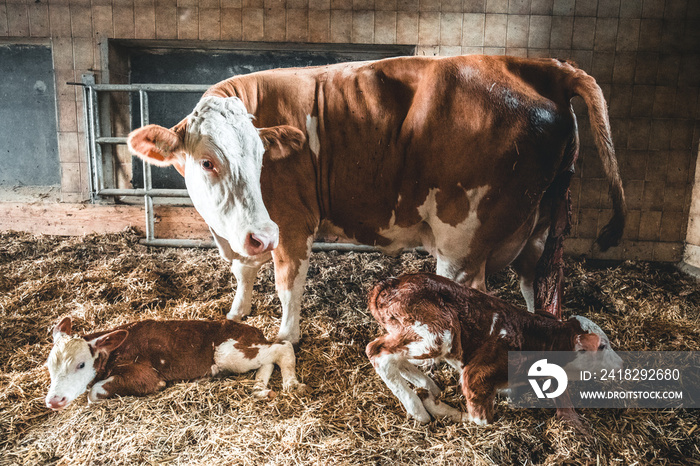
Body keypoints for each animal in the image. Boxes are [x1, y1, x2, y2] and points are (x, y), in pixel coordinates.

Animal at [44, 314, 306, 410]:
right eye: (49, 366)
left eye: (81, 365)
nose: (54, 400)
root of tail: (254, 330)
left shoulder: (146, 375)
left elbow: (94, 391)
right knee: (268, 360)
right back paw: (260, 390)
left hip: (228, 351)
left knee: (283, 347)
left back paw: (291, 384)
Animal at [129, 56, 628, 344]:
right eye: (207, 162)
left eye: (261, 159)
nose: (261, 236)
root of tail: (542, 66)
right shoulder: (237, 232)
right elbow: (243, 271)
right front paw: (237, 312)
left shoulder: (290, 223)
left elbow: (288, 284)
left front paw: (286, 337)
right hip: (541, 230)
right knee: (537, 292)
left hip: (463, 241)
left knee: (472, 294)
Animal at [364, 274, 620, 426]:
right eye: (602, 346)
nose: (621, 363)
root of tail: (387, 284)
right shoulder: (478, 376)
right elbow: (480, 421)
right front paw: (434, 406)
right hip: (437, 334)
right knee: (377, 351)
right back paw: (418, 408)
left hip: (415, 334)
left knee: (394, 354)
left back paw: (429, 386)